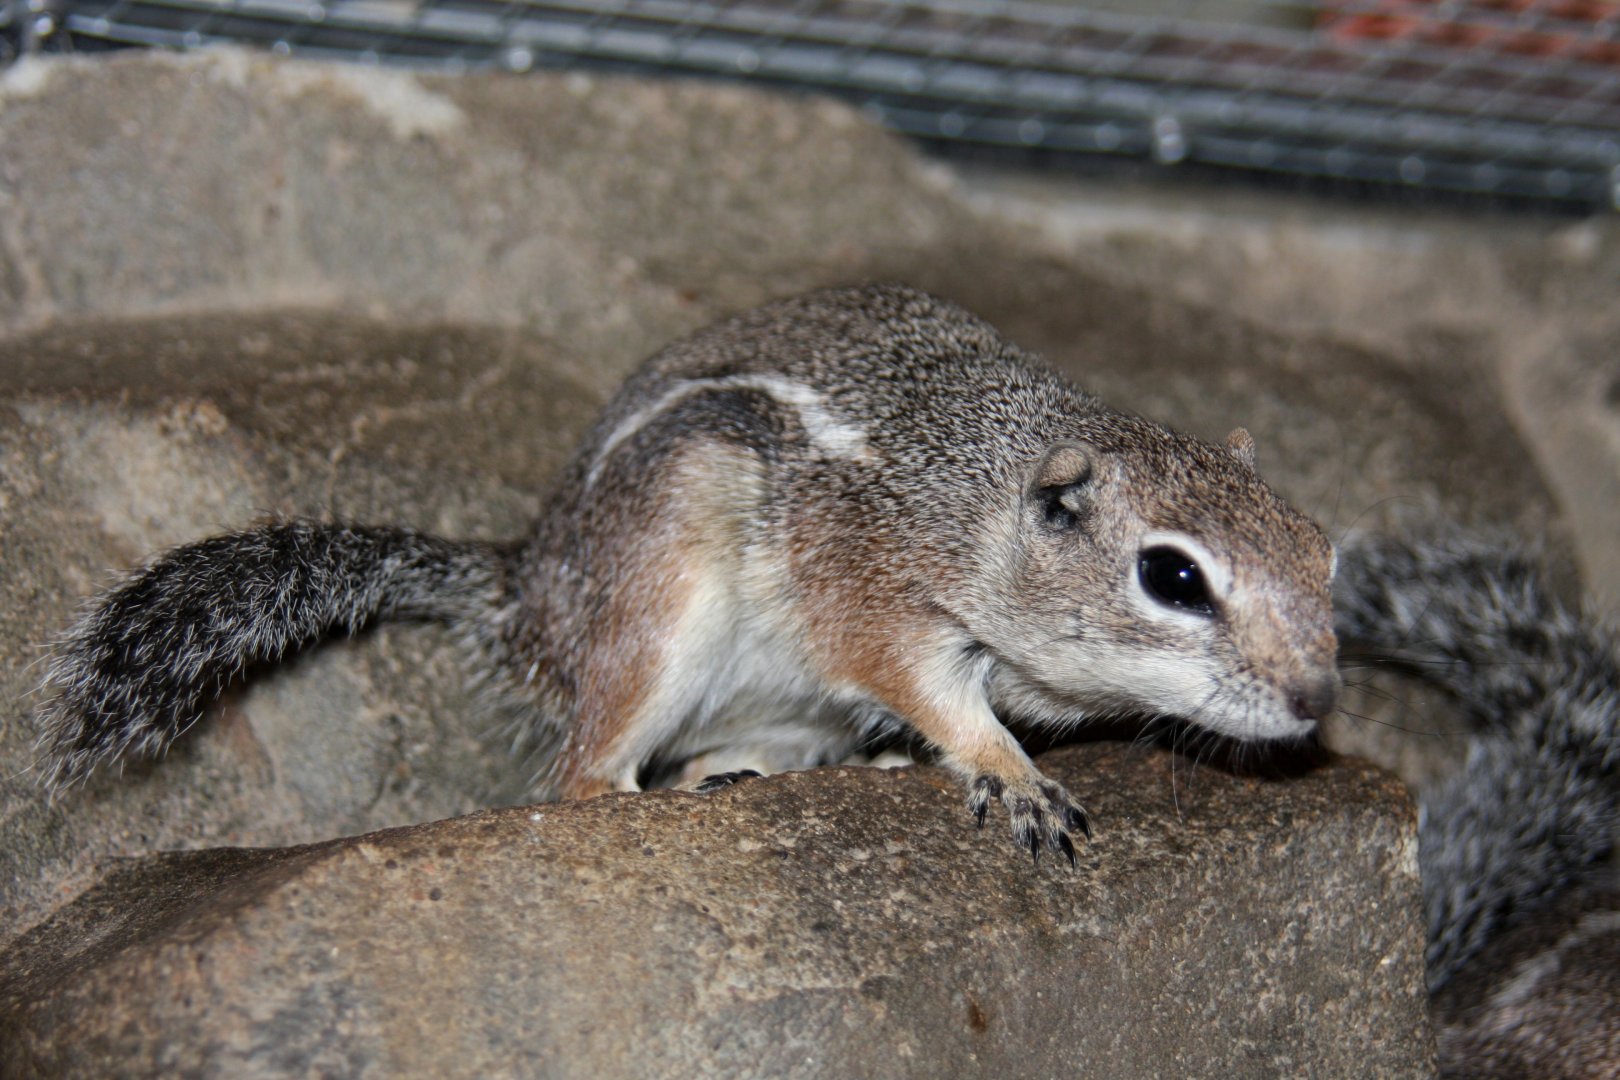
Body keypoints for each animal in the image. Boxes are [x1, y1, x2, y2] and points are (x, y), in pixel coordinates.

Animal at [33, 283, 1342, 863]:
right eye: (1174, 579)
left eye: (1326, 553)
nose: (1316, 700)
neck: (982, 499)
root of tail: (528, 603)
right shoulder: (874, 590)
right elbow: (933, 693)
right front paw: (1010, 774)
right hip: (662, 592)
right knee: (576, 780)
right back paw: (649, 796)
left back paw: (761, 777)